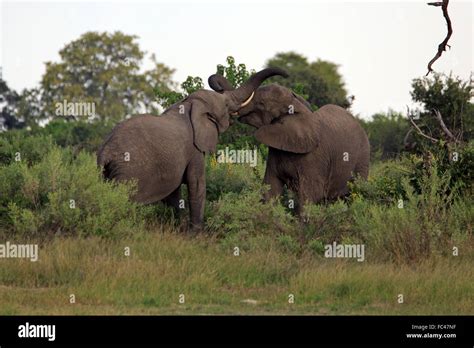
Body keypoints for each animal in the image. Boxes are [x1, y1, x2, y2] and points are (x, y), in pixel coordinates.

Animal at [98, 68, 286, 231]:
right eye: (226, 105)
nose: (286, 75)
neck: (190, 105)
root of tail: (106, 152)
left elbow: (174, 193)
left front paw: (176, 227)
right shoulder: (194, 149)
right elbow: (196, 183)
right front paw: (194, 234)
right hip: (127, 172)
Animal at [208, 75, 370, 213]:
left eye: (261, 104)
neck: (297, 107)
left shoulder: (315, 156)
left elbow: (311, 194)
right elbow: (271, 188)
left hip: (362, 160)